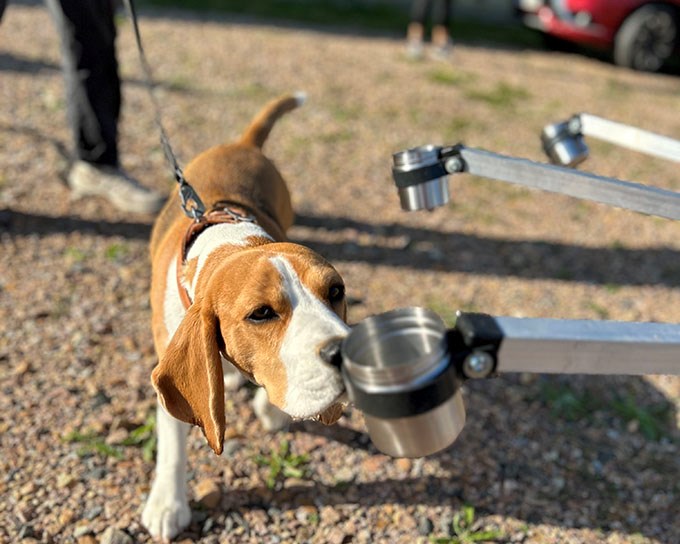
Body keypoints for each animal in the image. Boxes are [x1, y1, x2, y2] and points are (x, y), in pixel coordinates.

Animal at [141, 93, 348, 540]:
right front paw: (167, 504)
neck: (231, 244)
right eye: (261, 314)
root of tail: (244, 144)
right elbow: (172, 443)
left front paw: (271, 408)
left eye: (336, 292)